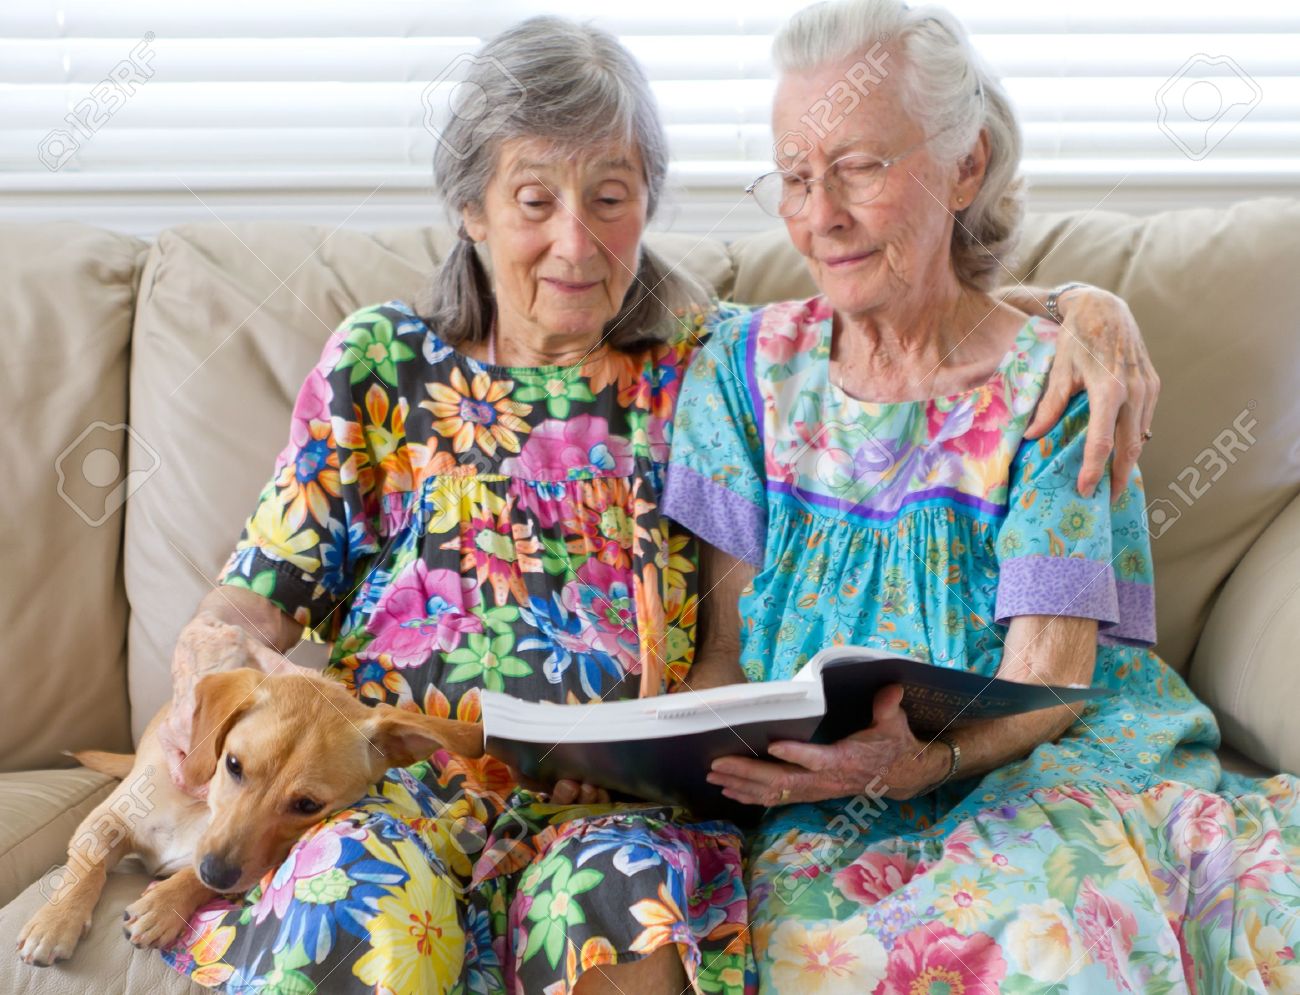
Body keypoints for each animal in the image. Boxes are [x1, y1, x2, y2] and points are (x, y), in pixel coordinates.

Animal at [16, 660, 483, 962]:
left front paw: (165, 903)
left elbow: (193, 878)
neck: (201, 805)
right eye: (234, 764)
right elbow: (88, 867)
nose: (216, 872)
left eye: (308, 805)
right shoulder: (105, 821)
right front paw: (55, 922)